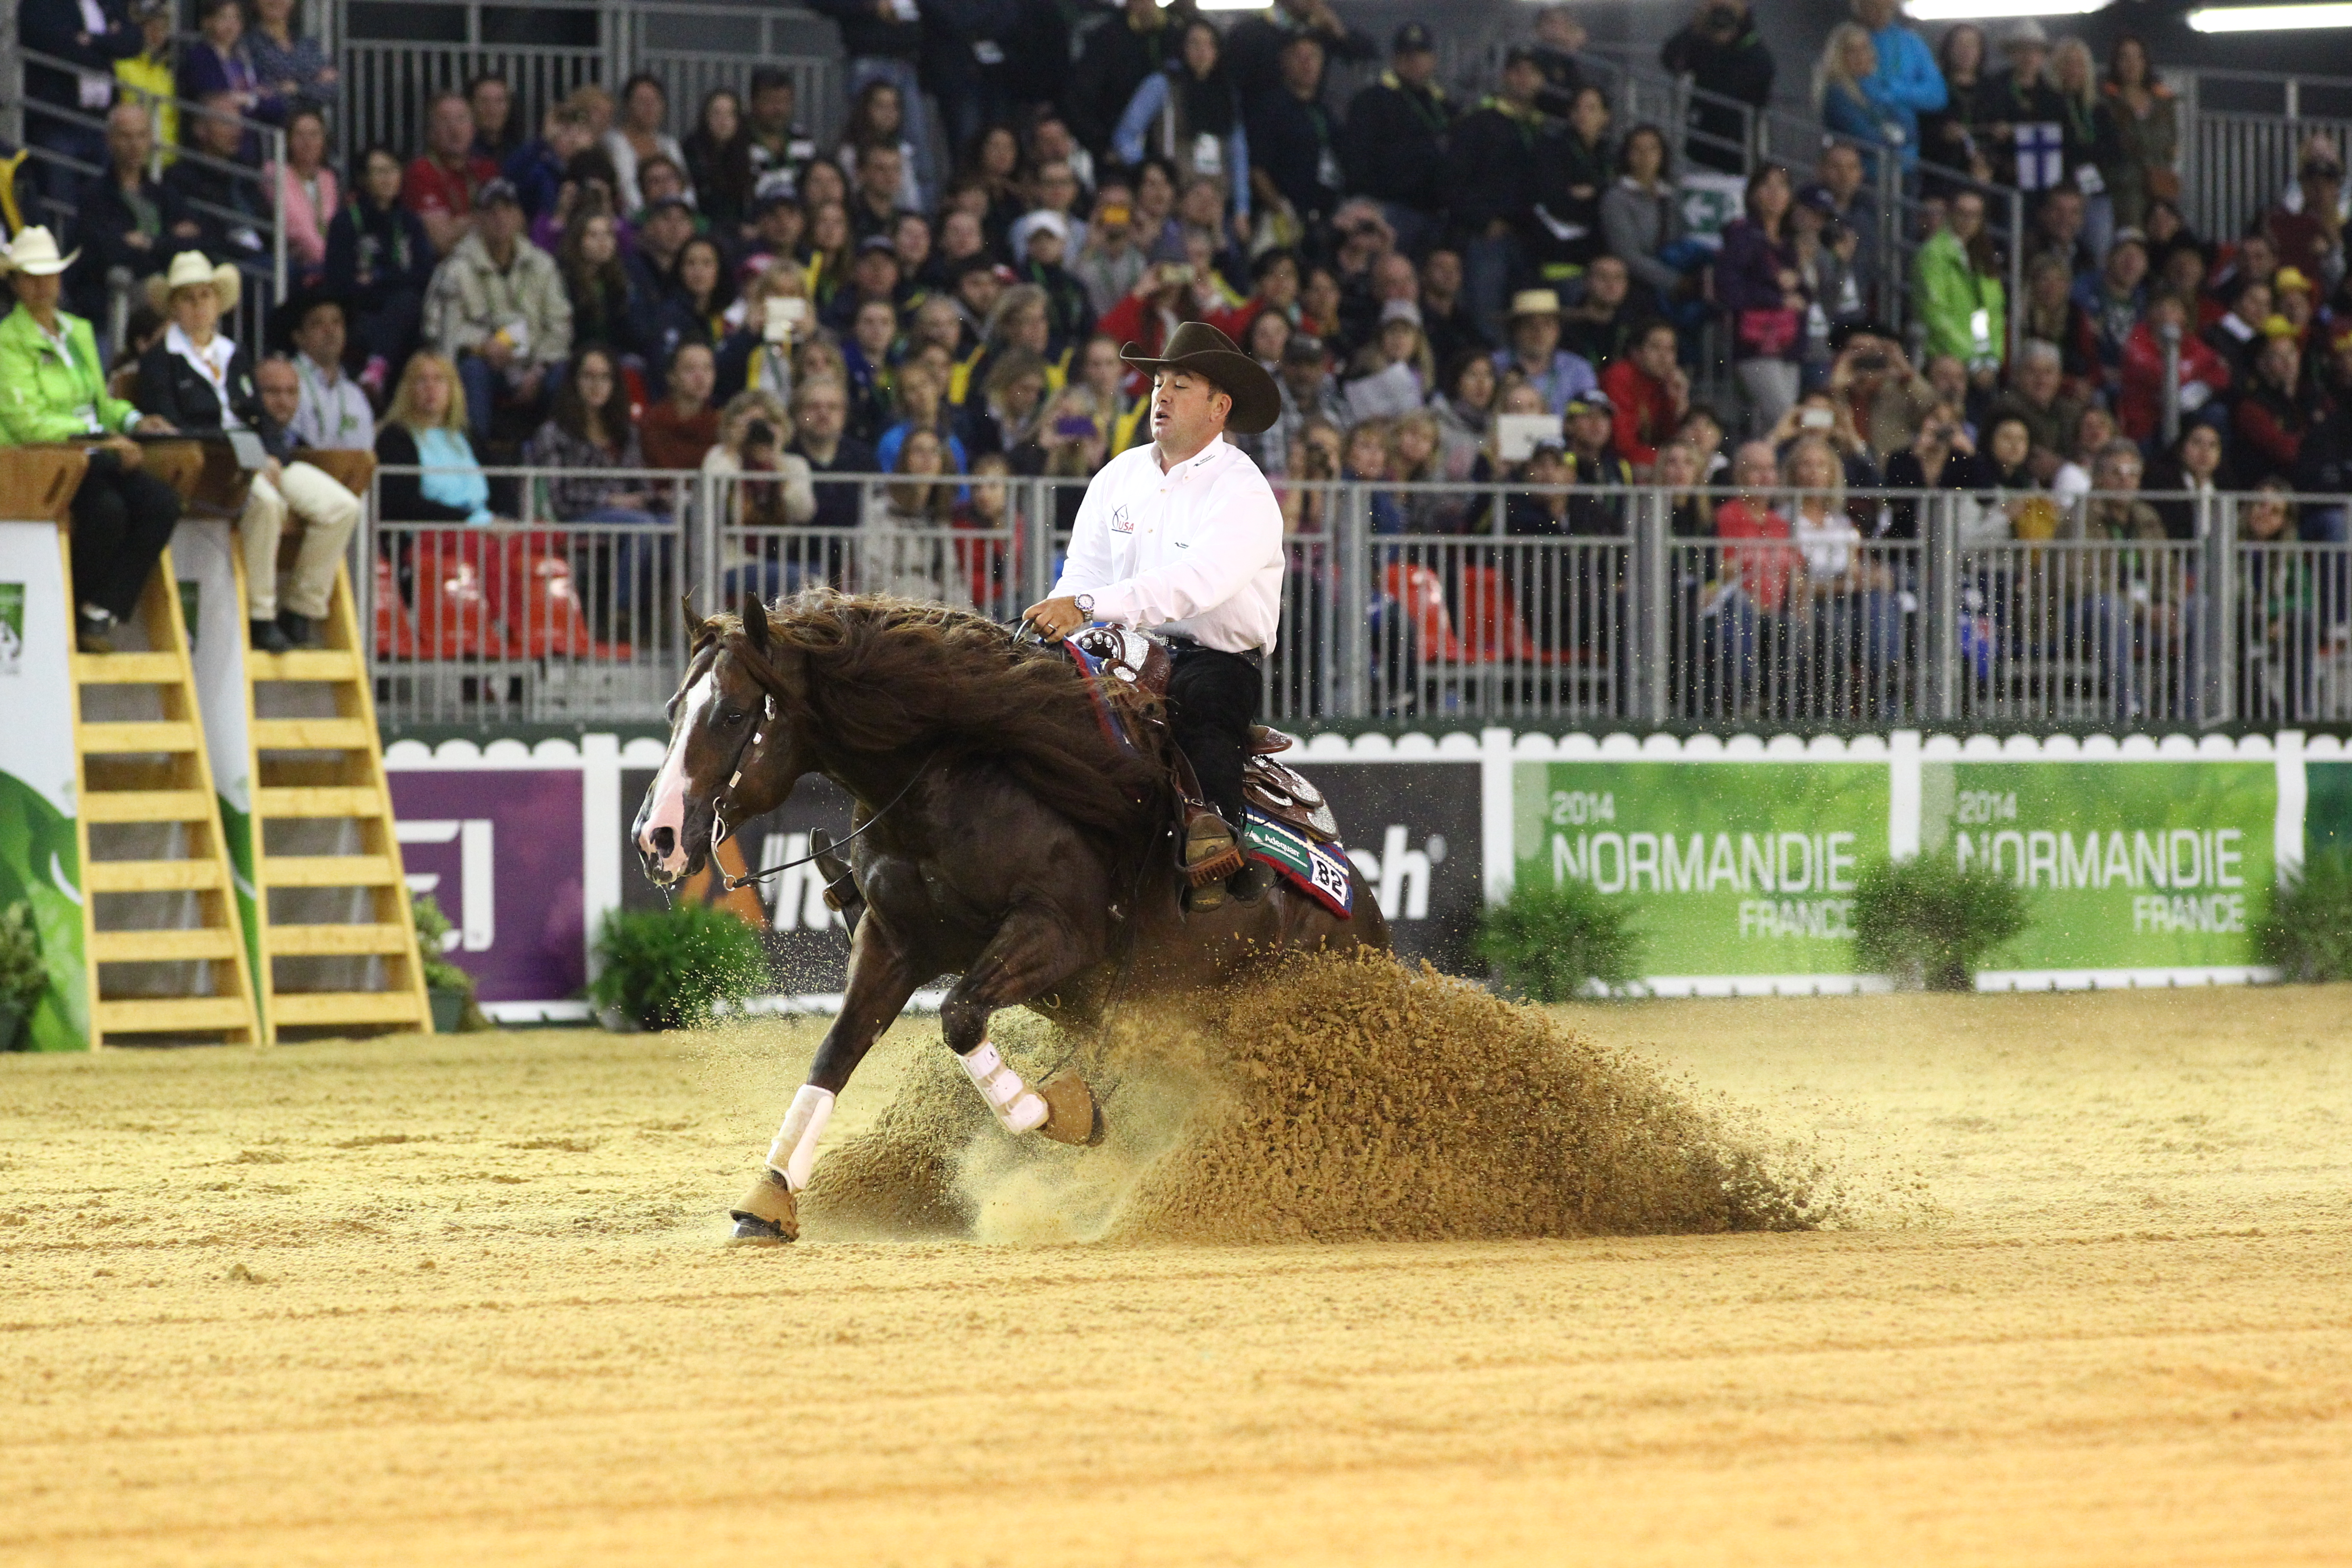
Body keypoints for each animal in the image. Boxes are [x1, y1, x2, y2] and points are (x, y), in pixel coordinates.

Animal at [634, 589, 1390, 1241]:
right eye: (672, 708)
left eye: (735, 715)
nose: (657, 838)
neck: (952, 785)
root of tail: (1362, 912)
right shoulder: (892, 943)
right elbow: (837, 1051)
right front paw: (769, 1198)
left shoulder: (1057, 935)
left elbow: (961, 1016)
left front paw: (1064, 1113)